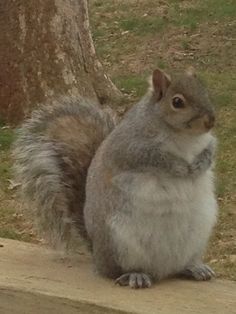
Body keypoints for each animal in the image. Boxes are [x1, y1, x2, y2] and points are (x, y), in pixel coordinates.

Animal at [14, 67, 218, 288]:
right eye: (177, 102)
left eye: (204, 90)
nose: (211, 120)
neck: (184, 136)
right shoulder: (130, 148)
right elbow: (156, 159)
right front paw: (180, 167)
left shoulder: (208, 141)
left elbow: (210, 149)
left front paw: (200, 164)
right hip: (119, 242)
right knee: (115, 271)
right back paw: (136, 275)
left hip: (198, 233)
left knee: (178, 265)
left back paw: (194, 267)